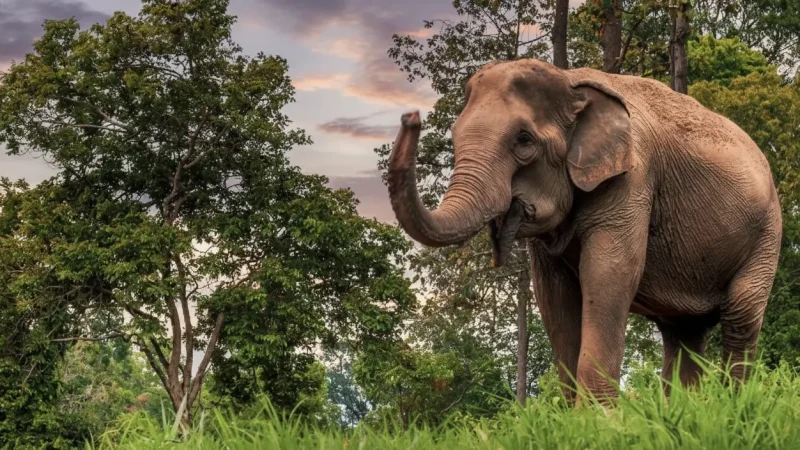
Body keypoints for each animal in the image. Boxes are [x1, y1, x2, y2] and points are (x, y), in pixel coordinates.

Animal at [386, 59, 782, 404]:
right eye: (454, 137)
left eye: (524, 140)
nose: (410, 117)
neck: (570, 81)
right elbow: (553, 293)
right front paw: (576, 419)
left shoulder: (633, 178)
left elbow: (609, 274)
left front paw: (600, 419)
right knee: (684, 332)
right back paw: (683, 413)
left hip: (768, 235)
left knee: (741, 313)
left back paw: (733, 408)